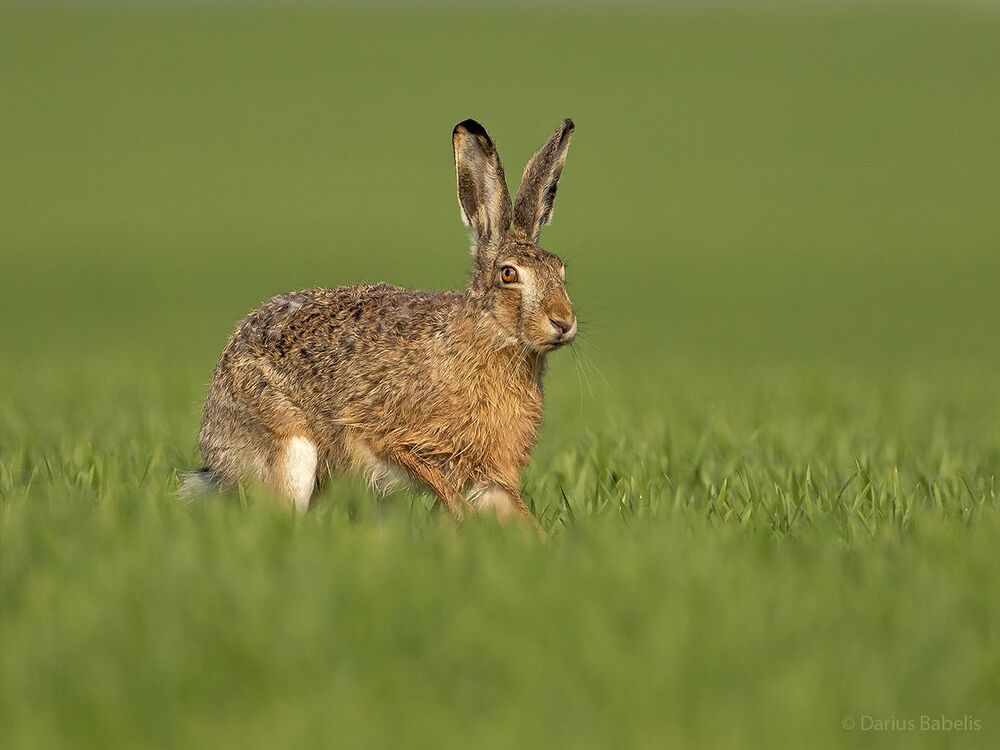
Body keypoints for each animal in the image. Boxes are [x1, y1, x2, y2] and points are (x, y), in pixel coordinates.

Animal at [182, 118, 577, 524]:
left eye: (561, 270)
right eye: (509, 274)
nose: (563, 322)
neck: (490, 338)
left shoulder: (489, 474)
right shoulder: (388, 438)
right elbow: (439, 484)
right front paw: (465, 520)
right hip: (290, 451)